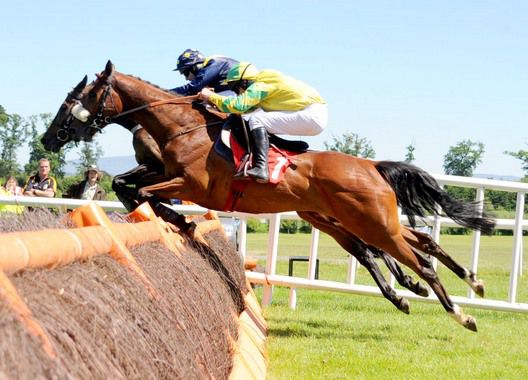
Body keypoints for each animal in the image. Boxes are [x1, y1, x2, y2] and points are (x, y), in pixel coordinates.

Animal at [41, 60, 496, 332]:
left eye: (74, 101)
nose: (48, 138)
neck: (182, 126)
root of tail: (370, 165)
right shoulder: (163, 172)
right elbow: (127, 185)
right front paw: (172, 220)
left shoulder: (188, 184)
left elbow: (146, 194)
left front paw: (179, 220)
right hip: (357, 221)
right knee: (420, 243)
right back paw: (462, 284)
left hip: (371, 222)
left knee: (416, 258)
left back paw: (460, 313)